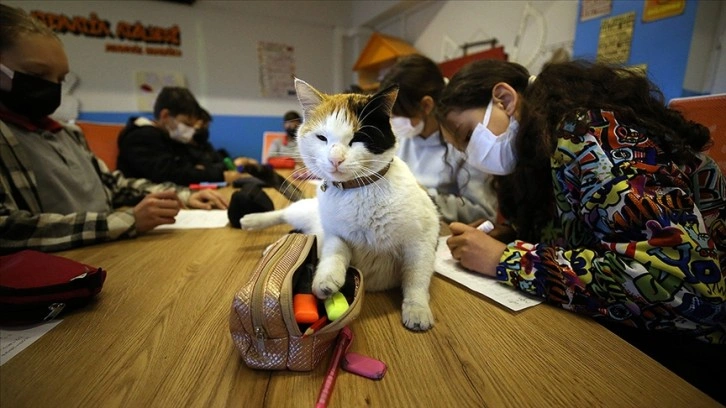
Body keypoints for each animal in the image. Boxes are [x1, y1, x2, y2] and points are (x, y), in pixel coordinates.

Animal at [242, 79, 440, 332]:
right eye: (322, 138)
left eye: (358, 137)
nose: (335, 159)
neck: (358, 190)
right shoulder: (334, 234)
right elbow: (334, 253)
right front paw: (325, 280)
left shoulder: (421, 243)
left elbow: (416, 279)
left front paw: (417, 309)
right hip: (305, 212)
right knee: (284, 213)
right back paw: (252, 221)